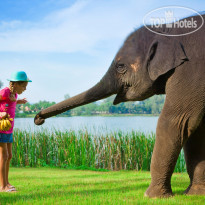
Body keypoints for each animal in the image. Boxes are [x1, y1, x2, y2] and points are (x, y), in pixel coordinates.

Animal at [34, 13, 204, 198]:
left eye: (120, 66)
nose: (38, 118)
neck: (168, 27)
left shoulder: (191, 70)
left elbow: (176, 121)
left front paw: (152, 196)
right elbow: (196, 128)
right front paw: (194, 194)